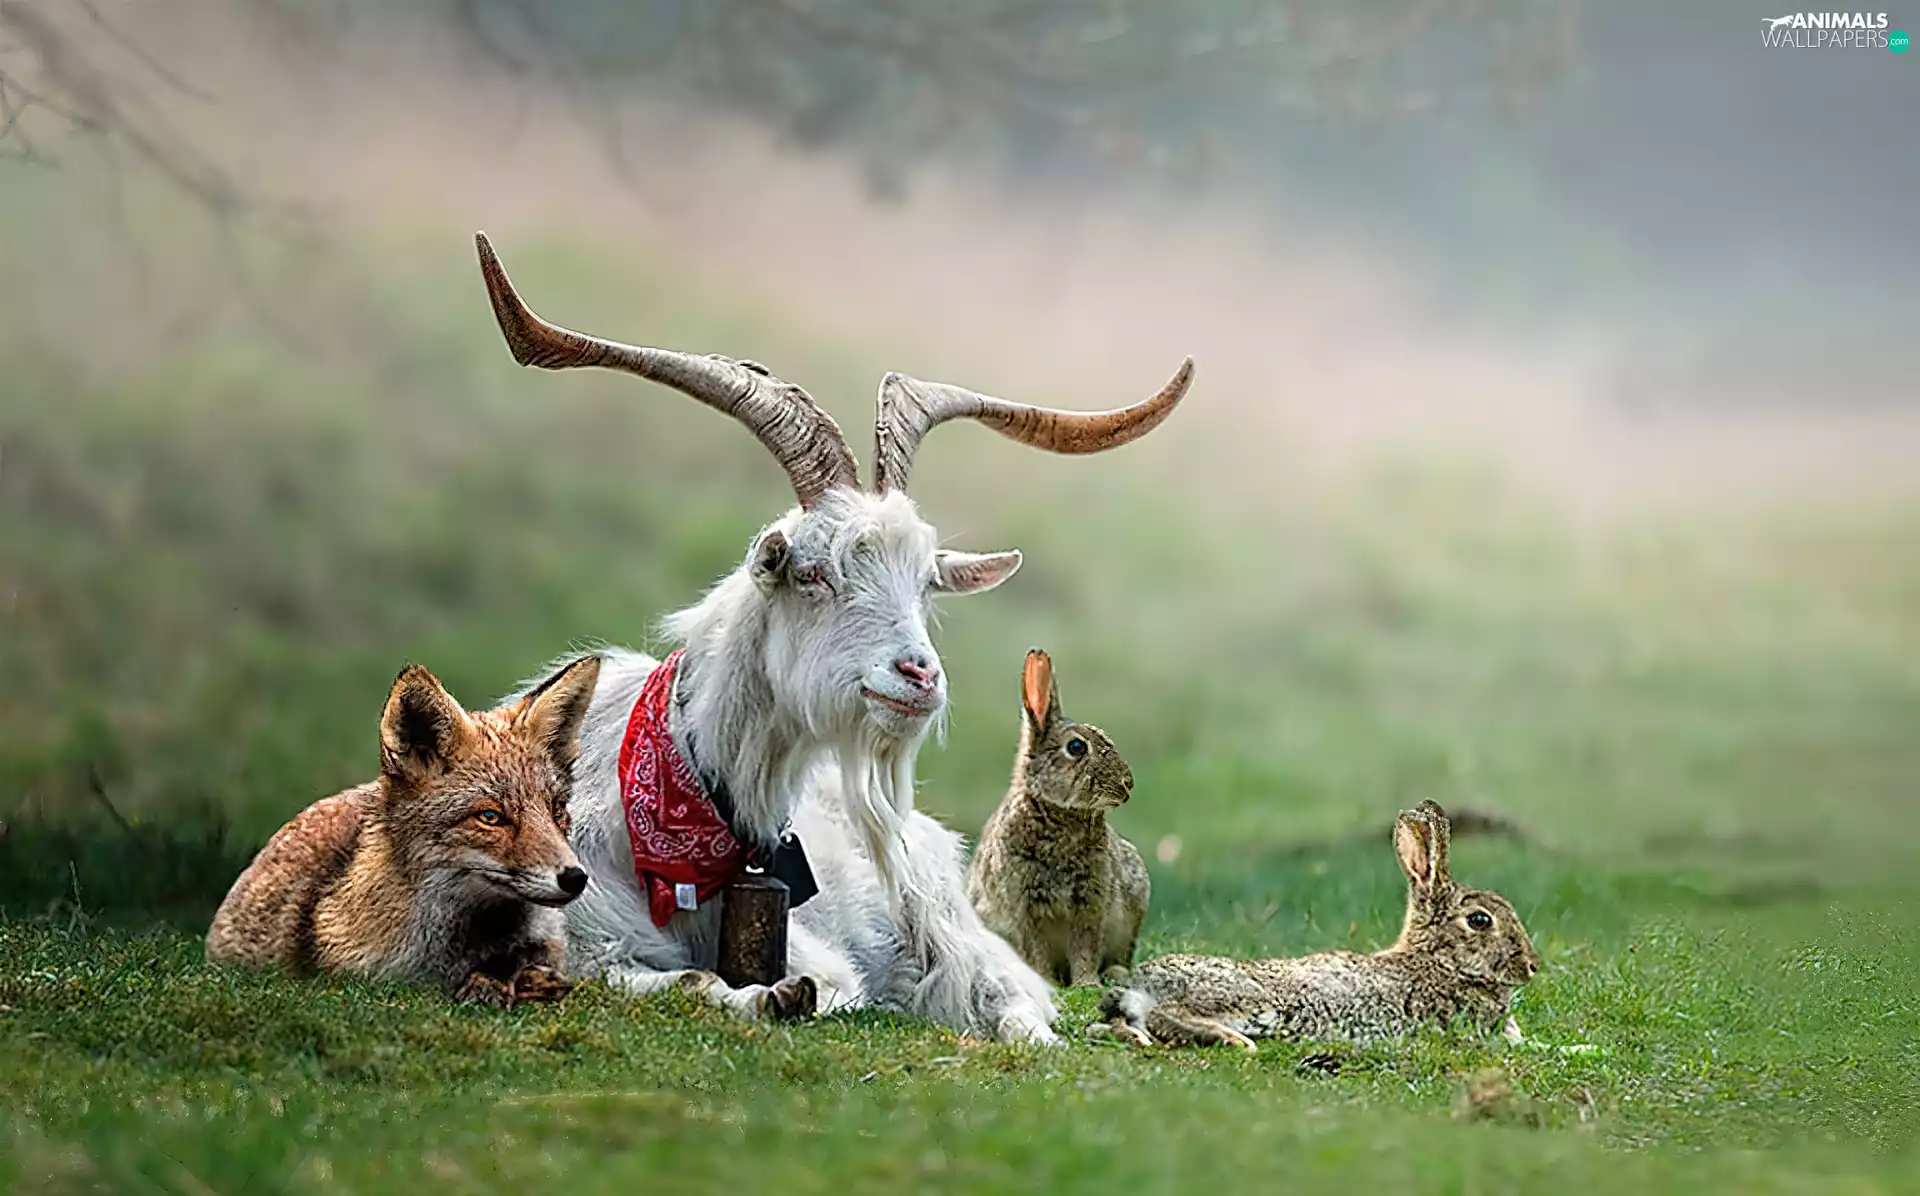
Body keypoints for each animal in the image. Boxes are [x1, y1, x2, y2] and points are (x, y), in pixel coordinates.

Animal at [967, 649, 1149, 988]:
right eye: (1076, 747)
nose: (1128, 784)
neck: (1056, 814)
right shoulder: (1025, 907)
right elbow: (1037, 949)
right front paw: (1048, 983)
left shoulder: (1091, 901)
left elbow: (1085, 946)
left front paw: (1087, 984)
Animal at [1096, 799, 1539, 1050]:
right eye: (1479, 920)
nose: (1532, 966)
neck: (1440, 963)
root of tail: (1143, 983)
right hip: (1250, 1000)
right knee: (1166, 1014)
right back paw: (1233, 1040)